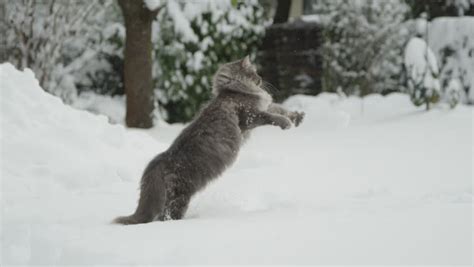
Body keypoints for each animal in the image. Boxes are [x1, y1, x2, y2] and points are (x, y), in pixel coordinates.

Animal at [114, 56, 304, 226]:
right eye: (254, 73)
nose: (260, 79)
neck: (232, 90)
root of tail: (161, 159)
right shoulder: (251, 115)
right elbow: (273, 116)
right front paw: (286, 123)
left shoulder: (264, 107)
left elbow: (280, 108)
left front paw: (297, 117)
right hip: (180, 196)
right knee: (166, 217)